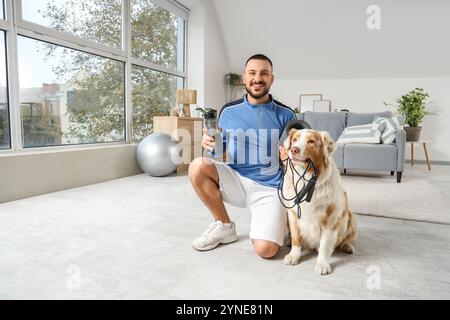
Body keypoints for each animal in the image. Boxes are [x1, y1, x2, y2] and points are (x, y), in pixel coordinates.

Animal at [282, 129, 358, 274]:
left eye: (311, 141)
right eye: (294, 140)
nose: (294, 149)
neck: (306, 179)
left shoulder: (331, 219)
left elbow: (324, 244)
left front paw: (322, 264)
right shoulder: (292, 213)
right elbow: (296, 238)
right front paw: (294, 255)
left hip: (351, 220)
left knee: (344, 239)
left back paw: (347, 246)